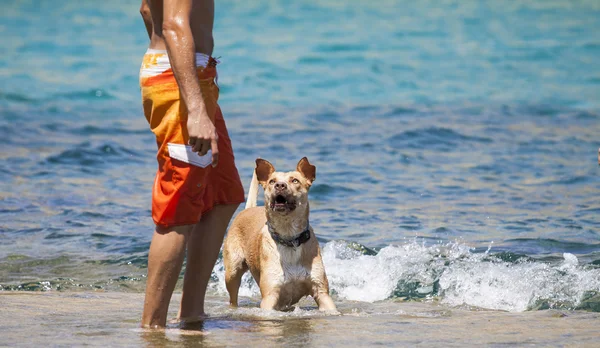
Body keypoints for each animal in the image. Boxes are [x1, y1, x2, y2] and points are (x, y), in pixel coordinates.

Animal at [225, 156, 338, 312]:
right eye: (272, 181)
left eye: (295, 180)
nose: (279, 185)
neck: (290, 238)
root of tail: (247, 210)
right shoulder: (270, 295)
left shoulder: (321, 291)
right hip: (232, 271)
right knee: (232, 296)